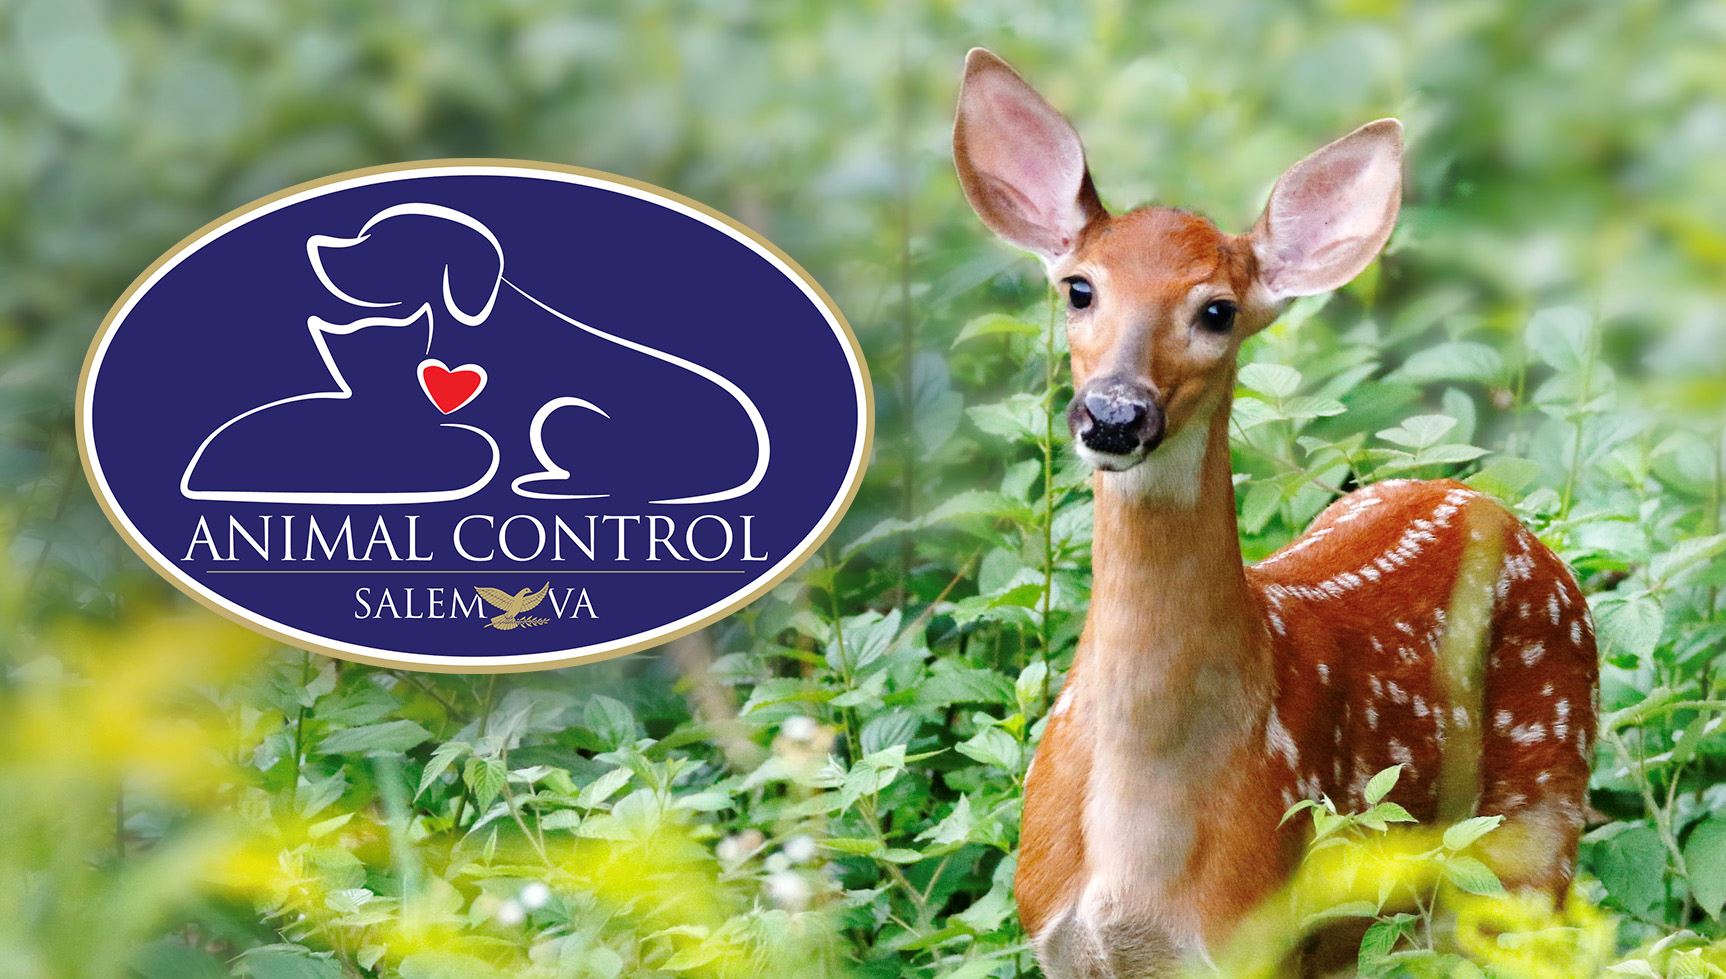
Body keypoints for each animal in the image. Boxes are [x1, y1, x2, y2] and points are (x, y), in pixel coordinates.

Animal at [952, 49, 1598, 977]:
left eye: (1217, 310)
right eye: (1079, 289)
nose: (1114, 414)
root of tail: (1489, 504)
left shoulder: (1253, 933)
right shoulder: (1057, 936)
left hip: (1538, 820)